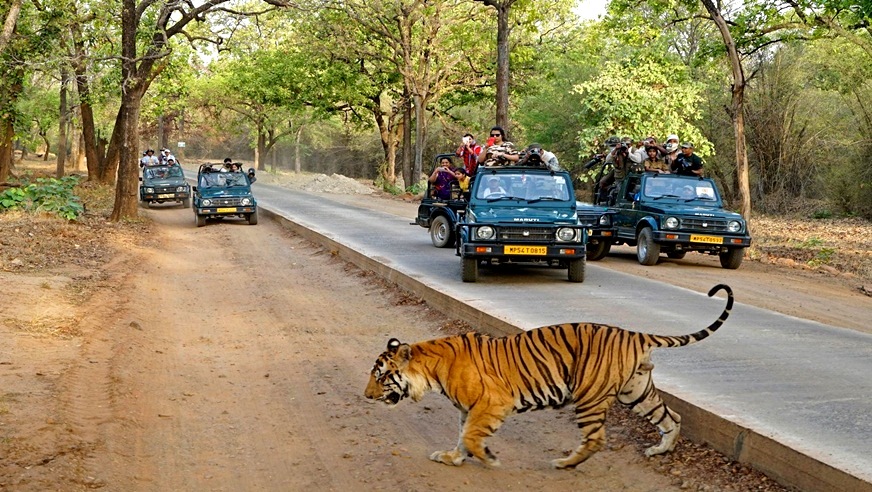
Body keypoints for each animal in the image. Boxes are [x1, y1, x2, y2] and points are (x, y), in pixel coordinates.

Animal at [364, 282, 732, 468]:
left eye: (381, 376)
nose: (366, 396)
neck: (430, 369)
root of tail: (634, 333)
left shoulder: (492, 403)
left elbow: (471, 436)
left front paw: (488, 459)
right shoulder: (468, 409)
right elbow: (462, 436)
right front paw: (453, 457)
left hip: (589, 396)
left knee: (597, 438)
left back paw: (565, 463)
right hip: (636, 391)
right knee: (672, 416)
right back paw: (660, 450)